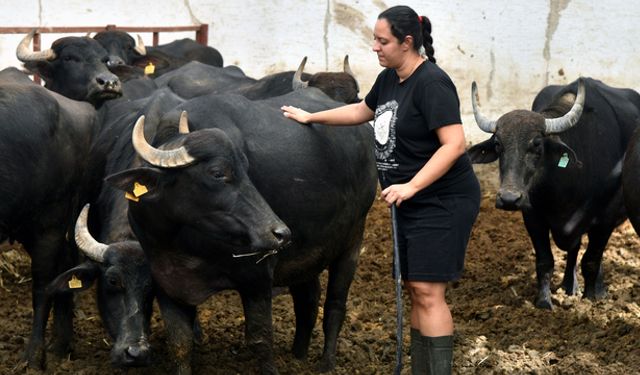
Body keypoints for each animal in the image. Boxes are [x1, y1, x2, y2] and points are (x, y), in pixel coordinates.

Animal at [103, 86, 378, 374]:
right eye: (217, 173)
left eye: (246, 169)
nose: (279, 233)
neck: (183, 243)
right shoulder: (167, 283)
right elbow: (179, 343)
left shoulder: (256, 279)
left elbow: (260, 340)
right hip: (308, 256)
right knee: (308, 299)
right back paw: (298, 355)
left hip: (352, 241)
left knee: (335, 304)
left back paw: (326, 362)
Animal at [468, 78, 640, 310]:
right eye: (497, 144)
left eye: (537, 144)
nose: (509, 199)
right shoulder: (533, 217)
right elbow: (545, 261)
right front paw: (544, 302)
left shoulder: (606, 219)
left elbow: (591, 260)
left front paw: (590, 299)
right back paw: (569, 286)